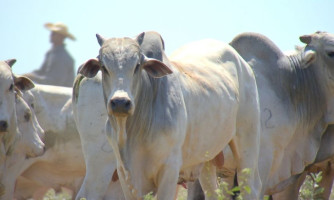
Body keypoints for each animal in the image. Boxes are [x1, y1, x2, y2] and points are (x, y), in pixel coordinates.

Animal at [77, 32, 260, 199]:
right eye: (104, 67)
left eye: (137, 66)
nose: (120, 102)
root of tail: (243, 64)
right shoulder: (125, 173)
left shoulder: (170, 169)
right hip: (205, 159)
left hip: (247, 143)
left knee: (251, 186)